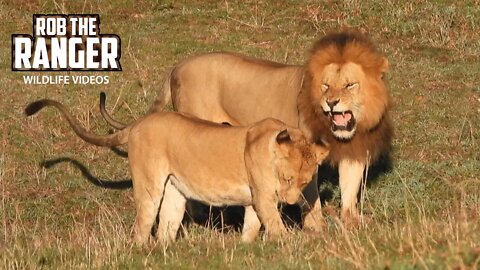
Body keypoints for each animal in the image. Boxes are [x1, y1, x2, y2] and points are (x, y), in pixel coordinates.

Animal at [24, 99, 328, 245]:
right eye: (287, 178)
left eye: (304, 182)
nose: (289, 201)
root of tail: (138, 123)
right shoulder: (264, 194)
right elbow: (275, 223)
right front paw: (290, 244)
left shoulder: (255, 197)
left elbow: (253, 224)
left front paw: (245, 246)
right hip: (149, 185)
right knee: (142, 226)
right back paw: (142, 250)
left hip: (174, 190)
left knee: (166, 226)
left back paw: (166, 250)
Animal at [102, 30, 394, 228]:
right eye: (325, 86)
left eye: (349, 85)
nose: (331, 102)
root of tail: (178, 66)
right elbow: (311, 197)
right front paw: (317, 230)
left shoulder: (354, 151)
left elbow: (349, 190)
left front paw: (352, 224)